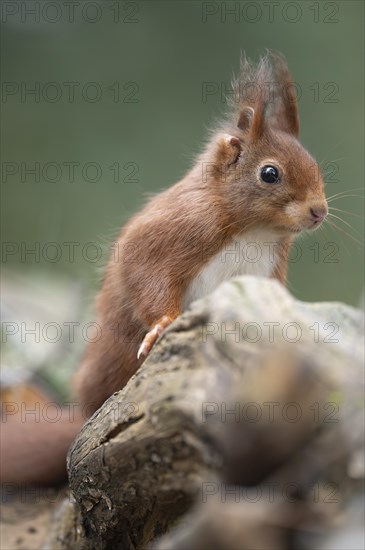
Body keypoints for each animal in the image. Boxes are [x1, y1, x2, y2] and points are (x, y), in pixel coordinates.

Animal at [0, 54, 324, 488]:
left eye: (314, 163)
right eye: (269, 173)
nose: (319, 211)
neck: (253, 230)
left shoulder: (268, 270)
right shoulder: (174, 231)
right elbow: (146, 273)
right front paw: (162, 325)